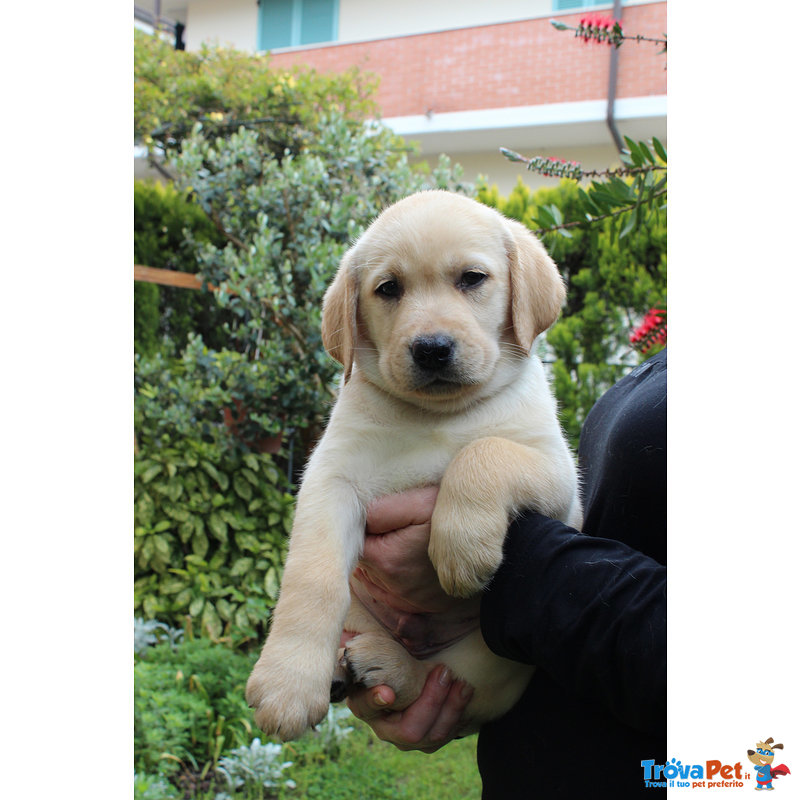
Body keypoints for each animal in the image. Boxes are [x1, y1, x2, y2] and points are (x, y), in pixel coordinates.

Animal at [244, 191, 580, 740]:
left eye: (472, 279)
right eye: (388, 289)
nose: (432, 349)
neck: (437, 415)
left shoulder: (560, 476)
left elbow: (482, 452)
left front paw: (461, 545)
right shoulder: (331, 478)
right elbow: (311, 581)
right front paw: (287, 682)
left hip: (492, 657)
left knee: (441, 678)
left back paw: (391, 667)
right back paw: (345, 667)